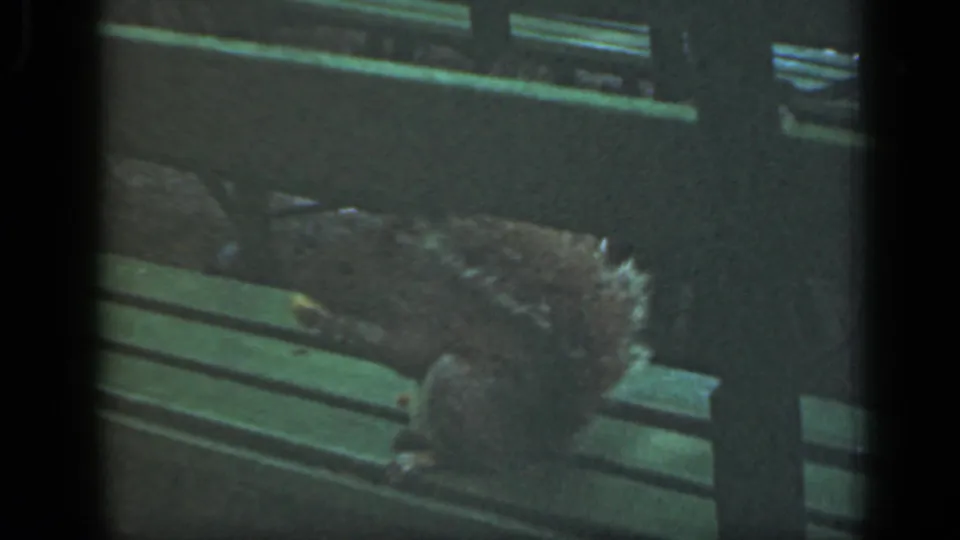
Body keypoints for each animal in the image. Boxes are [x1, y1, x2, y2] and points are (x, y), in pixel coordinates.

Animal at [215, 207, 653, 483]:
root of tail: (548, 437)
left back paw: (425, 458)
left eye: (345, 265)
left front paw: (332, 323)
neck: (398, 270)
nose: (286, 270)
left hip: (460, 388)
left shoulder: (427, 311)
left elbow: (405, 349)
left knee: (482, 460)